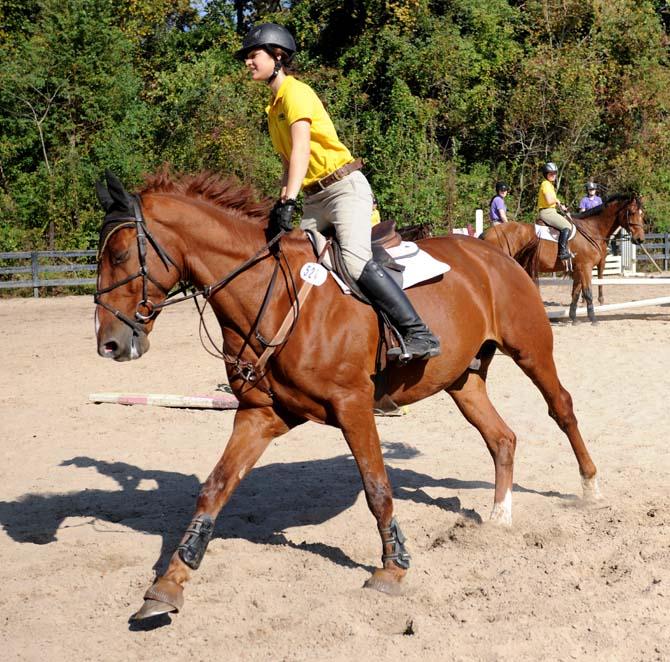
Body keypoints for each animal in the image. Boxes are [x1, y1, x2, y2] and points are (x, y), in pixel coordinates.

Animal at [92, 170, 600, 624]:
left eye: (119, 253)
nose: (109, 344)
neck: (271, 295)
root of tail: (492, 251)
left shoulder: (354, 407)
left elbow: (377, 489)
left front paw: (393, 569)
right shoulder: (261, 415)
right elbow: (215, 489)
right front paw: (167, 586)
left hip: (531, 349)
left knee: (562, 408)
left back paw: (590, 489)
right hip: (463, 379)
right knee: (501, 438)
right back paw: (498, 518)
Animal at [484, 193, 644, 326]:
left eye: (642, 214)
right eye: (632, 213)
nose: (640, 239)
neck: (591, 230)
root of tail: (489, 233)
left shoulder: (579, 269)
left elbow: (576, 293)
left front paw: (573, 318)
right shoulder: (585, 267)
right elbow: (587, 292)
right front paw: (593, 319)